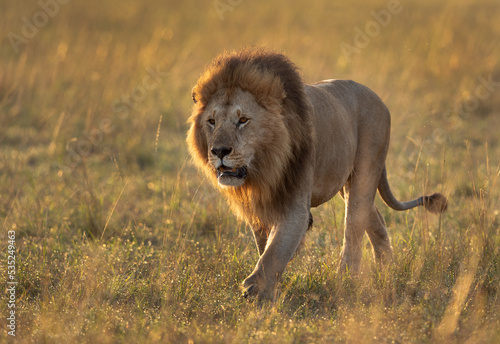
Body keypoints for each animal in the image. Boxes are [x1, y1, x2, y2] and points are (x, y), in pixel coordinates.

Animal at [186, 48, 448, 300]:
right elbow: (265, 245)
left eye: (242, 120)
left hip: (365, 172)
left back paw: (347, 279)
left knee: (354, 226)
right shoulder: (259, 206)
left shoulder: (295, 203)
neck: (263, 169)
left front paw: (255, 290)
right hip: (346, 183)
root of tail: (377, 98)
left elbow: (275, 250)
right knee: (375, 219)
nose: (219, 151)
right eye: (211, 121)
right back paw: (387, 270)